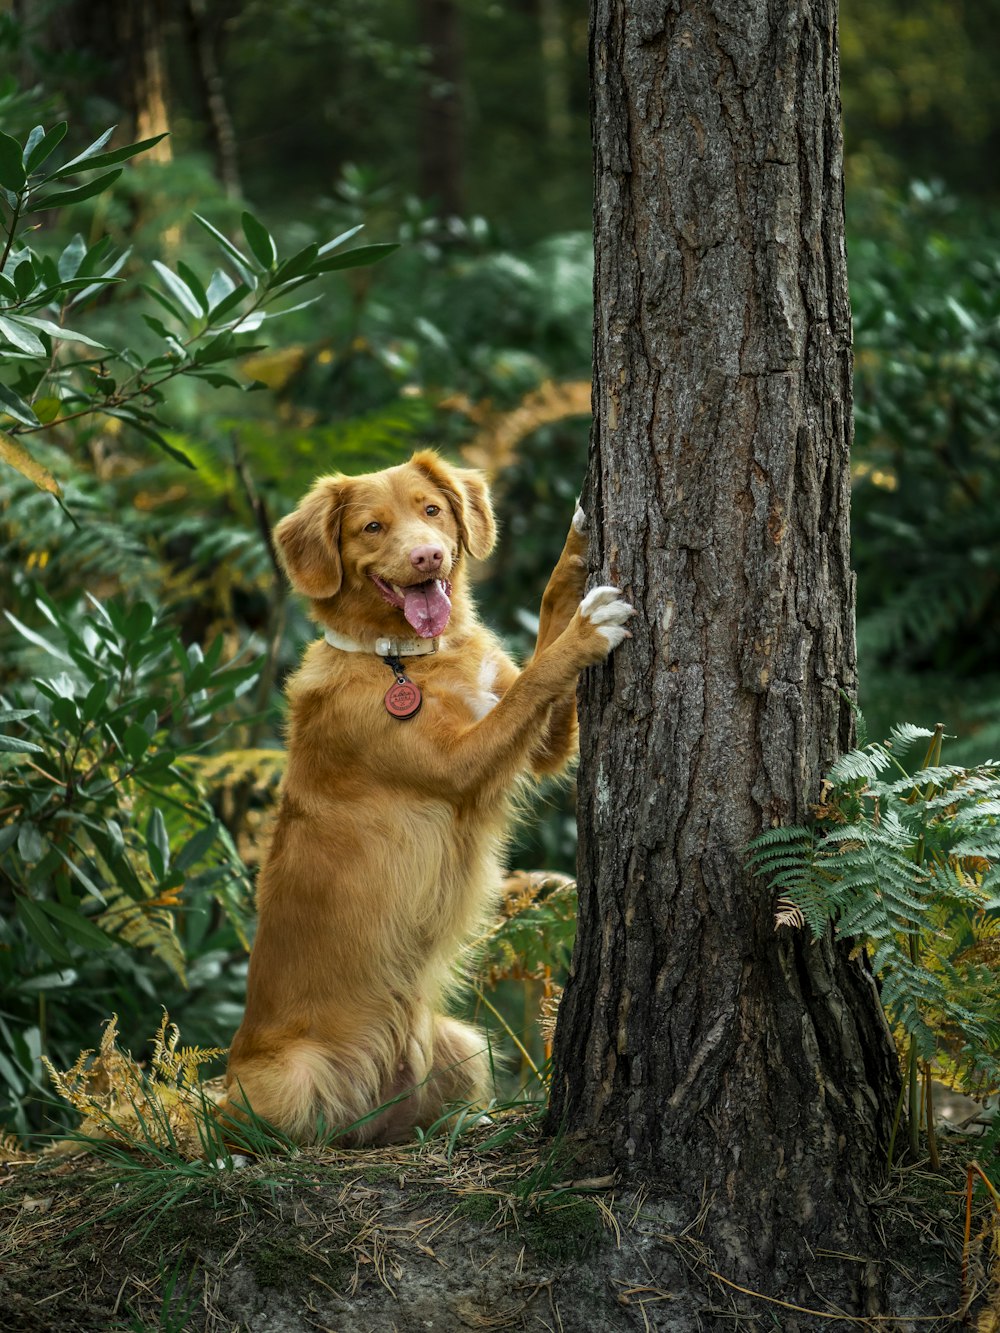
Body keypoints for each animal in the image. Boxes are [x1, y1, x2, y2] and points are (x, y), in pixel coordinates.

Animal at [226, 453, 634, 1141]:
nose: (428, 557)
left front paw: (577, 546)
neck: (404, 659)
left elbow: (543, 624)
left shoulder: (542, 744)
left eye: (433, 510)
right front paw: (585, 631)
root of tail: (366, 1116)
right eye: (371, 527)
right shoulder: (463, 762)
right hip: (291, 1080)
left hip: (464, 1045)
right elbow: (538, 674)